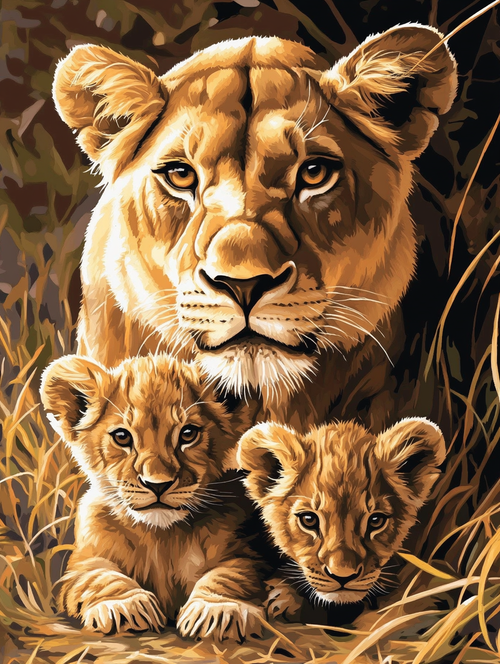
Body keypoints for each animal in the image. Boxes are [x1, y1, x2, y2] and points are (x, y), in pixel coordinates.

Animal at [40, 353, 266, 640]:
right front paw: (123, 605)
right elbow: (99, 576)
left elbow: (231, 575)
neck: (162, 538)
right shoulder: (82, 562)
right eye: (122, 437)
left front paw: (219, 609)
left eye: (188, 434)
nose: (158, 485)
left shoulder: (246, 552)